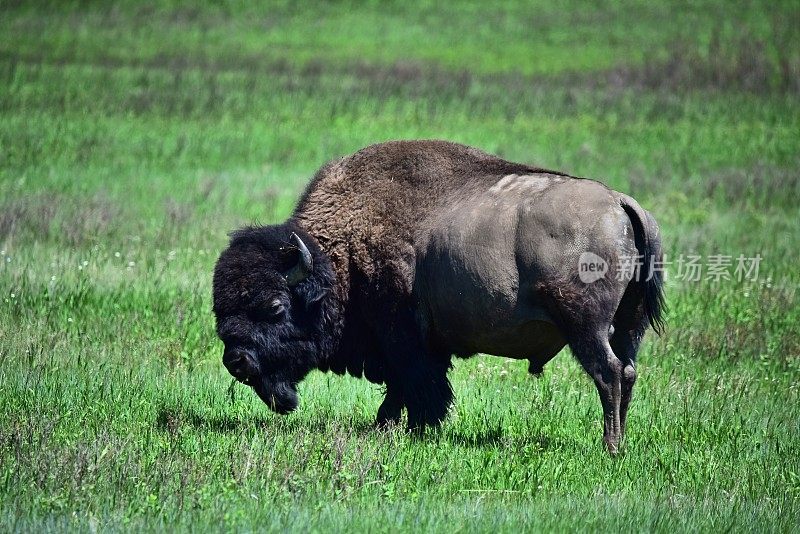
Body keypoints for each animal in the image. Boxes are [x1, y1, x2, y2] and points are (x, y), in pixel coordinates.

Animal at [212, 140, 664, 454]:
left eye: (275, 307)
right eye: (220, 310)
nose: (236, 361)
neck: (340, 254)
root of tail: (621, 203)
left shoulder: (402, 336)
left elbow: (416, 383)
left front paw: (409, 428)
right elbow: (407, 386)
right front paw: (390, 426)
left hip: (586, 328)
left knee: (608, 373)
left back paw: (609, 446)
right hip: (628, 326)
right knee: (627, 371)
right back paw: (620, 442)